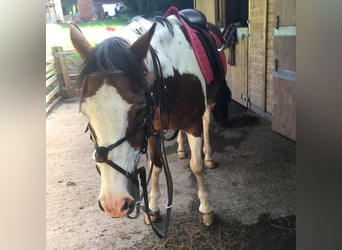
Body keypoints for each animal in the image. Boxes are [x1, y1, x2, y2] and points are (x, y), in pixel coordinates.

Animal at [68, 7, 231, 234]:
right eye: (85, 113)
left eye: (139, 111)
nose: (113, 203)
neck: (172, 76)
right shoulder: (152, 128)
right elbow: (155, 166)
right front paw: (152, 209)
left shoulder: (193, 124)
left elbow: (196, 166)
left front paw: (206, 209)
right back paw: (181, 149)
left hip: (210, 99)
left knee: (207, 121)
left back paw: (208, 156)